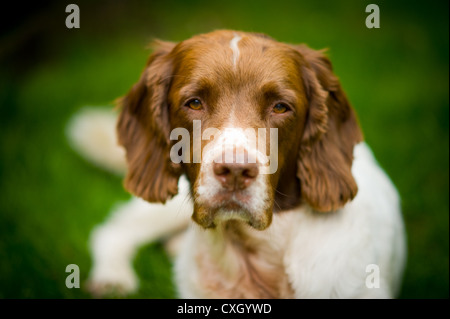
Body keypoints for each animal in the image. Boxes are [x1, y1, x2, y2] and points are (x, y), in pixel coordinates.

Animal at [67, 30, 408, 300]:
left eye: (281, 107)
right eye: (194, 102)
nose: (234, 171)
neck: (252, 252)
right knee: (115, 230)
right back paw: (112, 277)